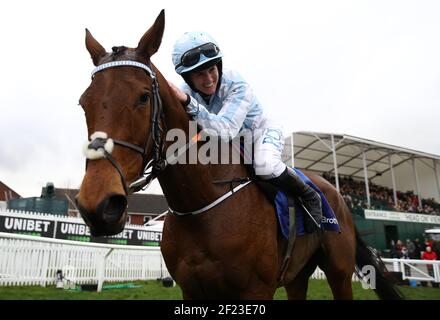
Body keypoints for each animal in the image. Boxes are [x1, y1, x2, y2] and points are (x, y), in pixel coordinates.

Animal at [75, 10, 402, 300]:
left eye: (143, 97)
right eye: (83, 102)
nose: (98, 205)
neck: (201, 207)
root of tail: (337, 194)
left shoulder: (256, 289)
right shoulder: (192, 290)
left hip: (339, 271)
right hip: (297, 275)